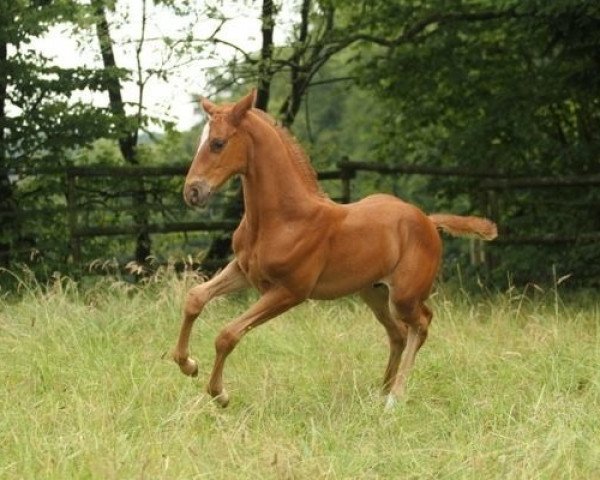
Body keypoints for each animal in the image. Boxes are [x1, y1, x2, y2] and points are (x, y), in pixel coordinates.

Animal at [170, 90, 496, 408]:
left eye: (218, 143)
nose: (192, 192)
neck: (285, 218)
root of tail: (428, 220)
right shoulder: (243, 270)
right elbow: (195, 298)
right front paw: (187, 364)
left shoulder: (289, 291)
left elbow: (227, 334)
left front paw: (220, 394)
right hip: (374, 293)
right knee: (398, 333)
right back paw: (380, 393)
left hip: (404, 296)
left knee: (422, 324)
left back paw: (395, 396)